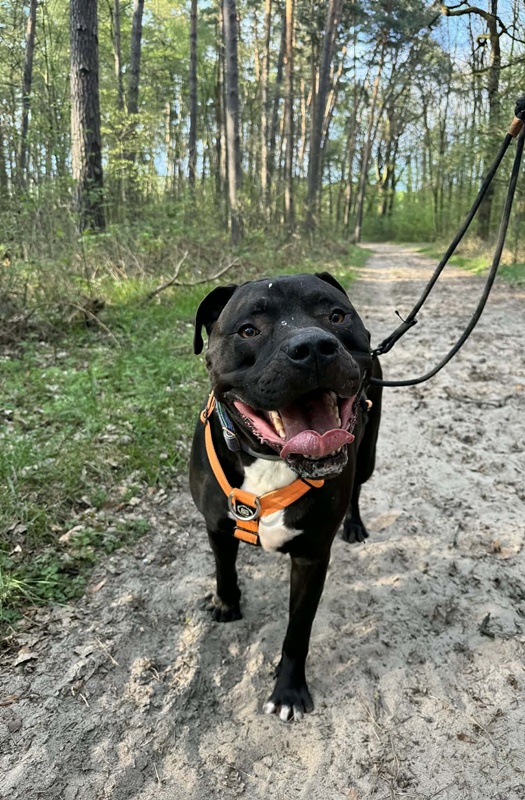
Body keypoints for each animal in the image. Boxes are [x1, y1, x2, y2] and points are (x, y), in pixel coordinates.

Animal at [190, 272, 382, 721]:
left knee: (358, 488)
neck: (268, 460)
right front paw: (226, 603)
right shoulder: (216, 525)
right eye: (248, 330)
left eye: (335, 315)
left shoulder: (311, 558)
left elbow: (298, 631)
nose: (311, 347)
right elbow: (224, 569)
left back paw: (354, 524)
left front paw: (288, 690)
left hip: (367, 454)